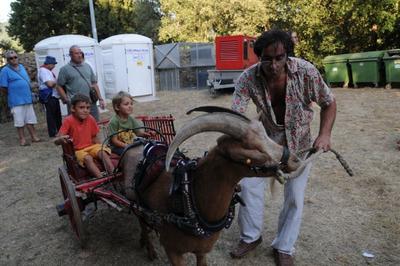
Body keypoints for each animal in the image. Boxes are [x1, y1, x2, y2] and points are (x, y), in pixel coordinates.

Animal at [122, 108, 312, 266]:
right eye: (251, 148)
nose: (295, 160)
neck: (186, 196)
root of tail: (138, 143)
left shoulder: (202, 250)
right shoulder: (172, 250)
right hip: (134, 202)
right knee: (141, 222)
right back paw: (150, 250)